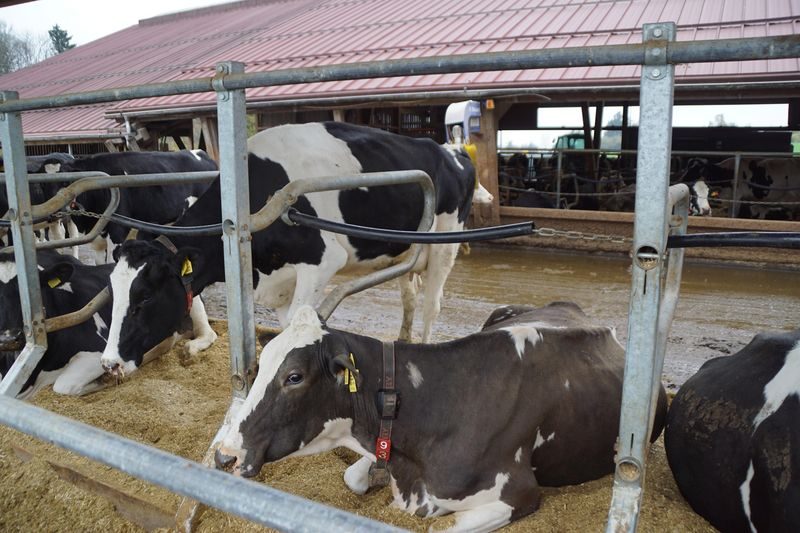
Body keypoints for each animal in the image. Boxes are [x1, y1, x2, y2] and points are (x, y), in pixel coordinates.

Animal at [0, 250, 213, 398]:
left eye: (30, 292)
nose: (9, 338)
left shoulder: (98, 352)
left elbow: (62, 385)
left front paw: (104, 382)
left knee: (207, 333)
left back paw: (188, 349)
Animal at [98, 122, 476, 378]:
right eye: (113, 293)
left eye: (145, 297)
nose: (109, 362)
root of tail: (448, 150)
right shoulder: (279, 283)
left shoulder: (323, 260)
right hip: (406, 249)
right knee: (409, 298)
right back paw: (402, 341)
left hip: (446, 242)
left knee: (431, 304)